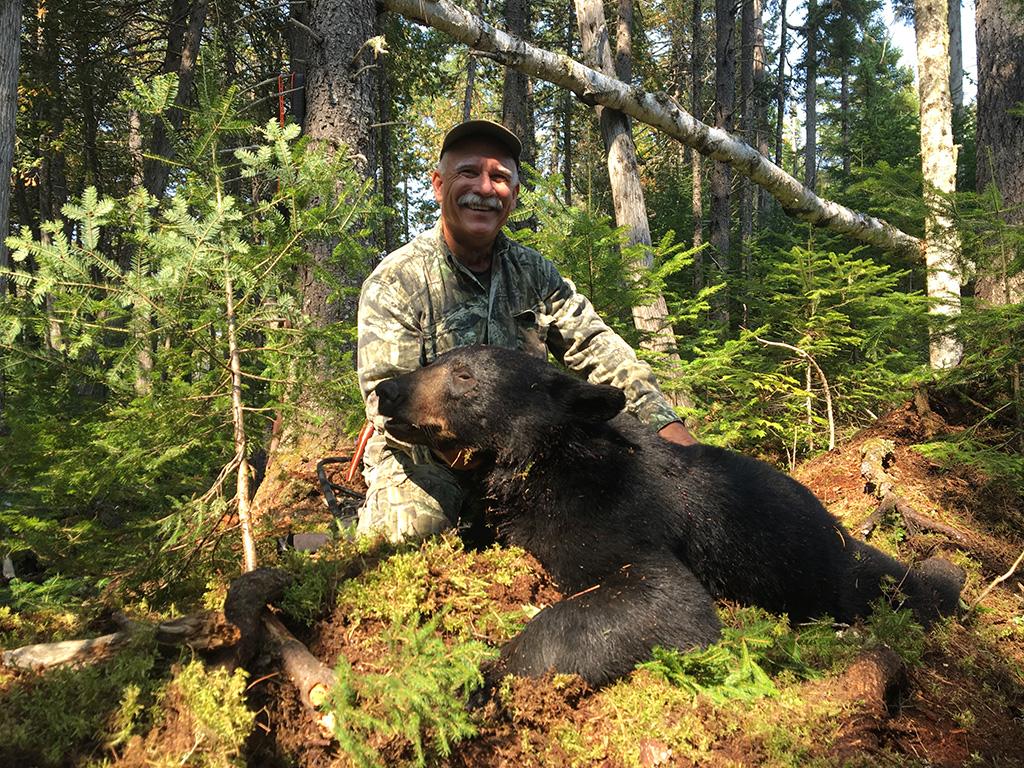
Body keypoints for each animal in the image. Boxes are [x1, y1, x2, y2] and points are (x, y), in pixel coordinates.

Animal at [373, 344, 963, 690]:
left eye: (463, 376)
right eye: (430, 360)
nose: (386, 389)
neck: (538, 463)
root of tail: (832, 521)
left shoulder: (609, 515)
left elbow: (668, 601)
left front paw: (477, 677)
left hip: (828, 569)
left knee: (892, 583)